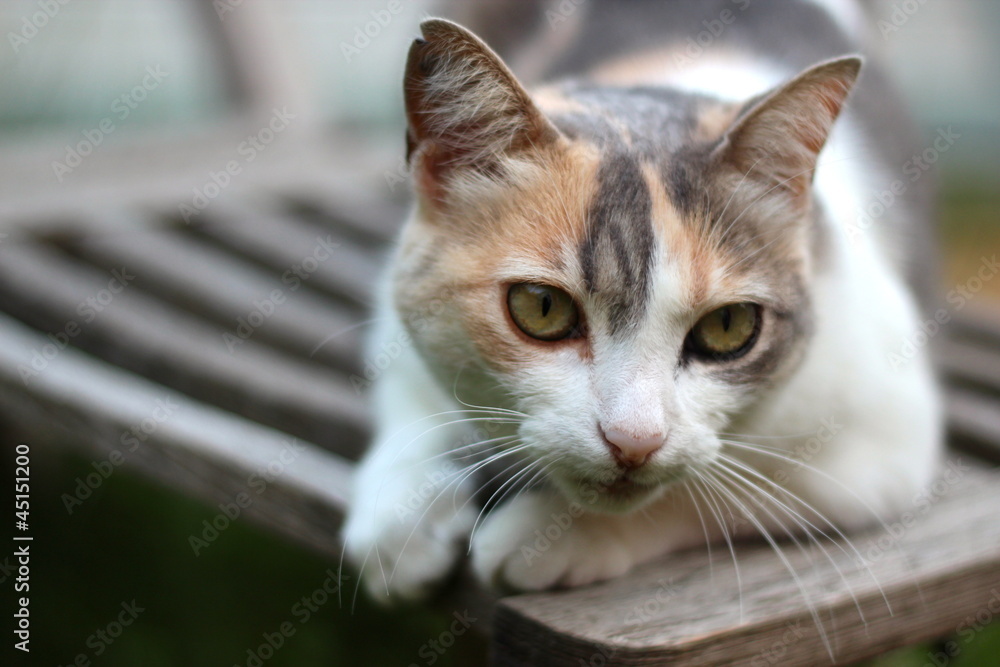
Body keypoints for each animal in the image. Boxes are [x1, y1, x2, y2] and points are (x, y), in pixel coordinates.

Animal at [340, 0, 940, 604]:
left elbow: (711, 492)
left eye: (728, 325)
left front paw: (553, 535)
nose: (634, 441)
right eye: (542, 307)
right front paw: (399, 520)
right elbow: (412, 395)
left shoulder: (884, 443)